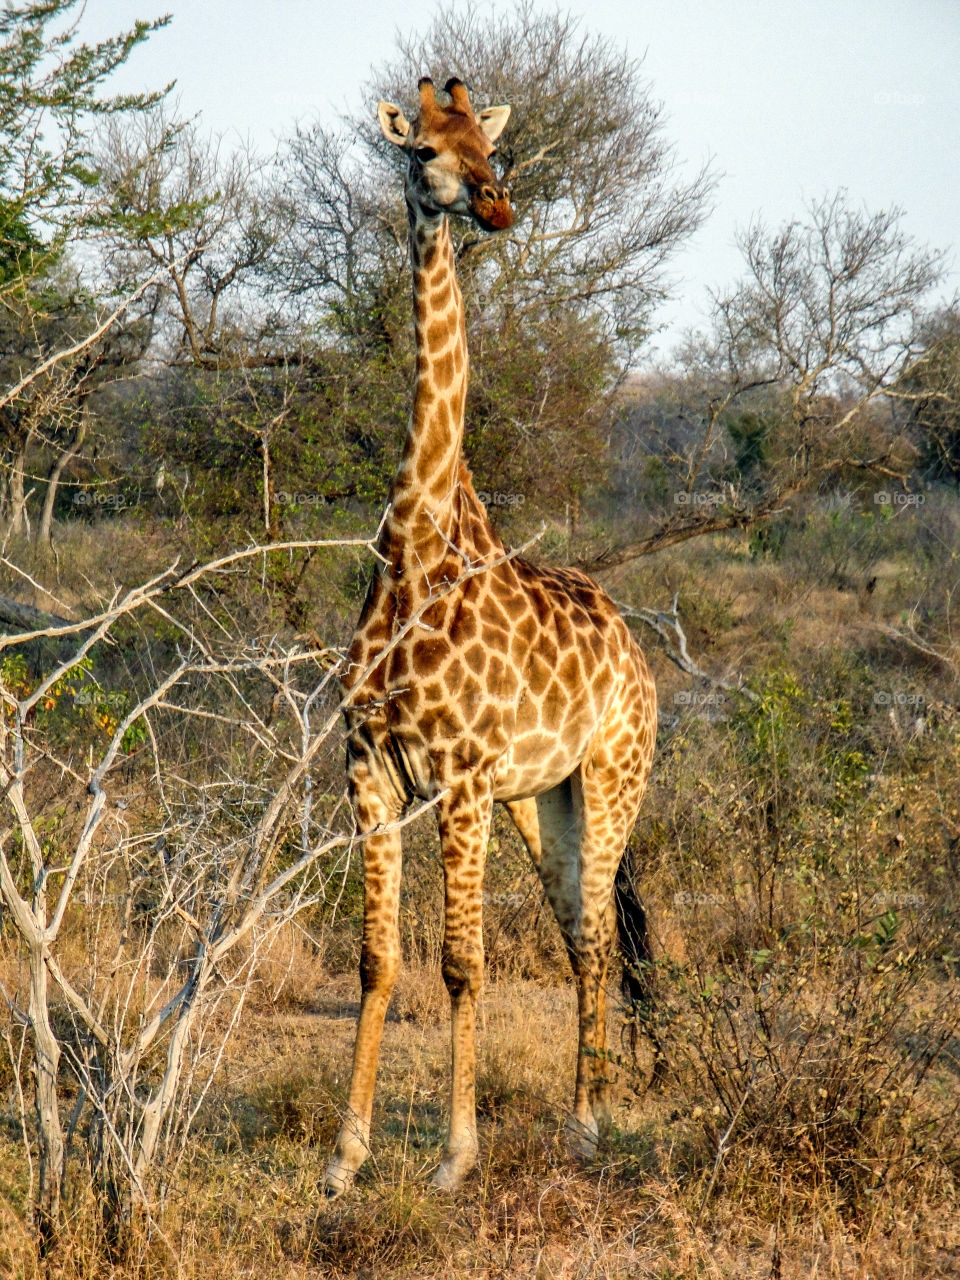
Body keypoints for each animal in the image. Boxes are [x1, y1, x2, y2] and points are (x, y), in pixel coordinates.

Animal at [325, 77, 660, 1198]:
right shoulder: (371, 769)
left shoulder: (459, 779)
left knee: (597, 935)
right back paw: (579, 1113)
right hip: (539, 799)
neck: (412, 548)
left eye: (491, 149)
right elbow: (379, 957)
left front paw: (454, 1156)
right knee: (576, 936)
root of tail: (635, 650)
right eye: (425, 149)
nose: (497, 206)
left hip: (610, 778)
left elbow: (461, 964)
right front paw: (346, 1155)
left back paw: (592, 1124)